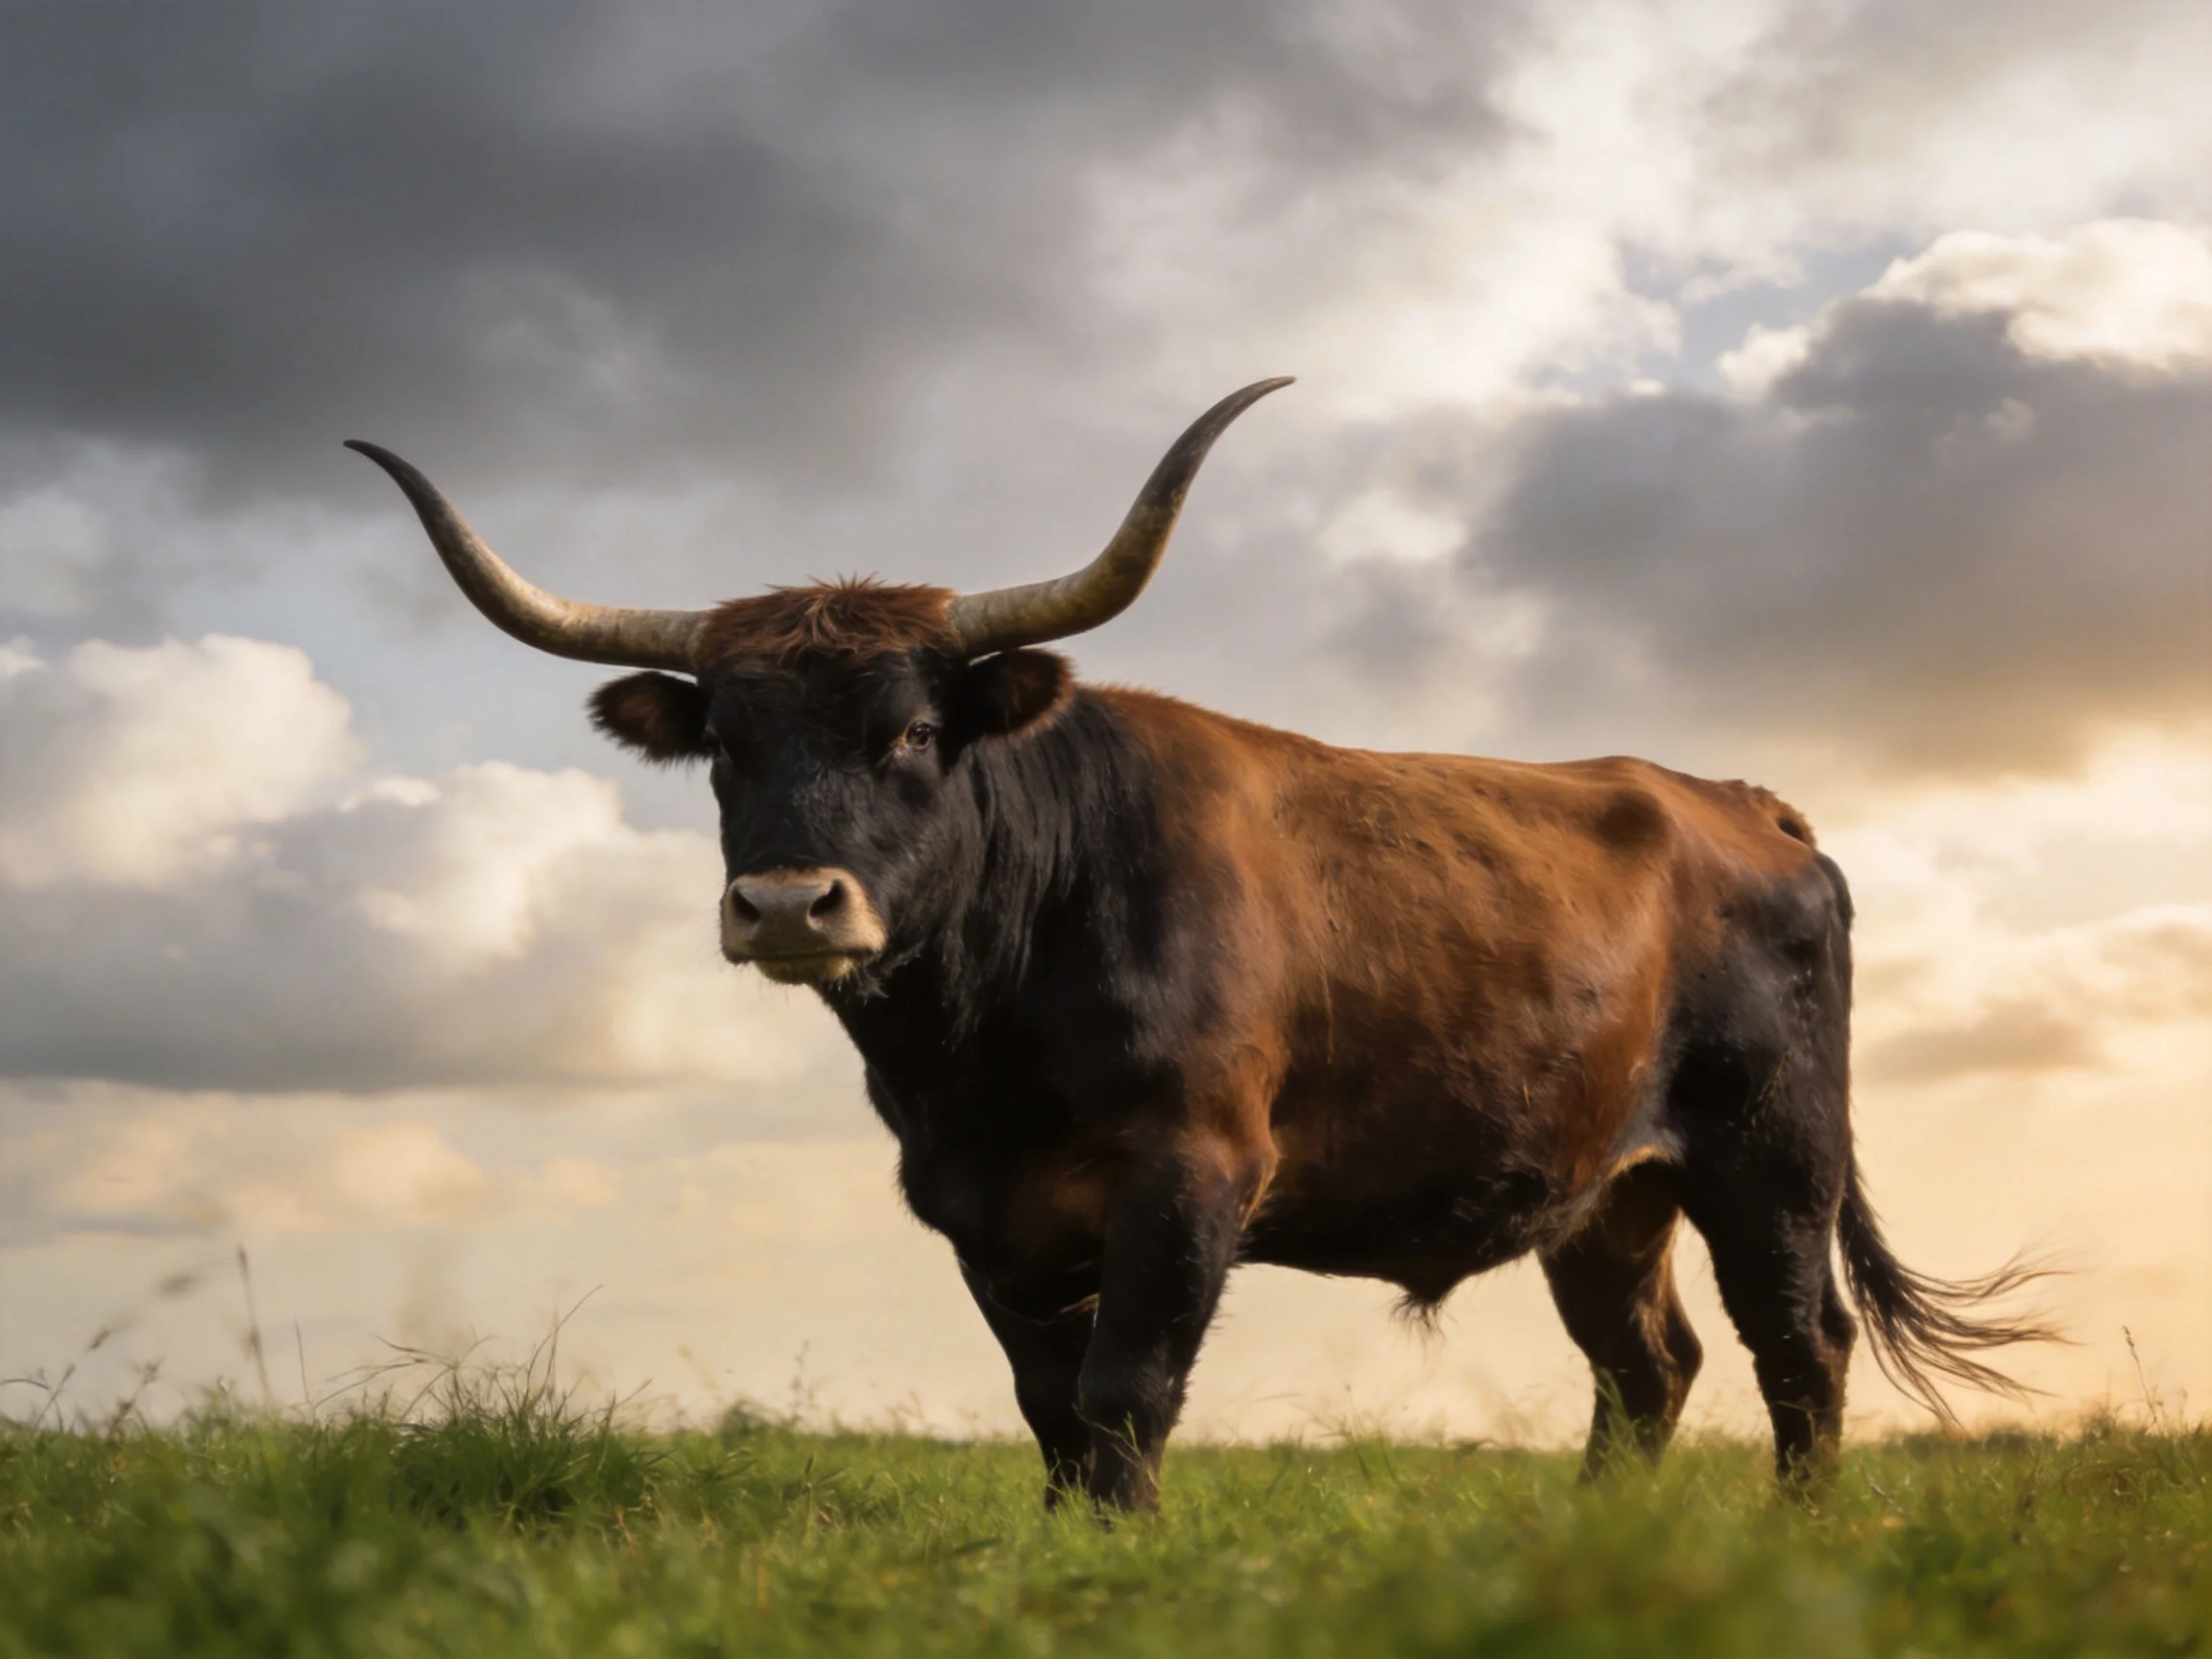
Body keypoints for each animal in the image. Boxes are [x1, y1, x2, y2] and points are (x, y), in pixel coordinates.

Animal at [348, 380, 2047, 1510]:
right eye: (726, 747)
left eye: (913, 733)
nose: (785, 904)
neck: (978, 1047)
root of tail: (1740, 802)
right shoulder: (978, 1211)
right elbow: (1047, 1402)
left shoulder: (1191, 1173)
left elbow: (1128, 1392)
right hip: (1605, 1190)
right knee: (1648, 1364)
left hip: (1771, 1150)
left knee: (1798, 1343)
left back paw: (1791, 1536)